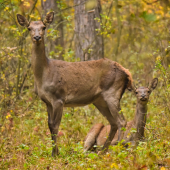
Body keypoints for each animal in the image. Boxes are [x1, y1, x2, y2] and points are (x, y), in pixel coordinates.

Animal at [16, 11, 133, 157]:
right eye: (29, 28)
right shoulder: (47, 101)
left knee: (121, 121)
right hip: (100, 100)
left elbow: (55, 125)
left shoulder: (59, 97)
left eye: (43, 27)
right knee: (113, 122)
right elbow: (49, 124)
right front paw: (54, 152)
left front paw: (55, 154)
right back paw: (103, 151)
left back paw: (116, 149)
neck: (43, 75)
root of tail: (126, 72)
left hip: (112, 92)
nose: (37, 37)